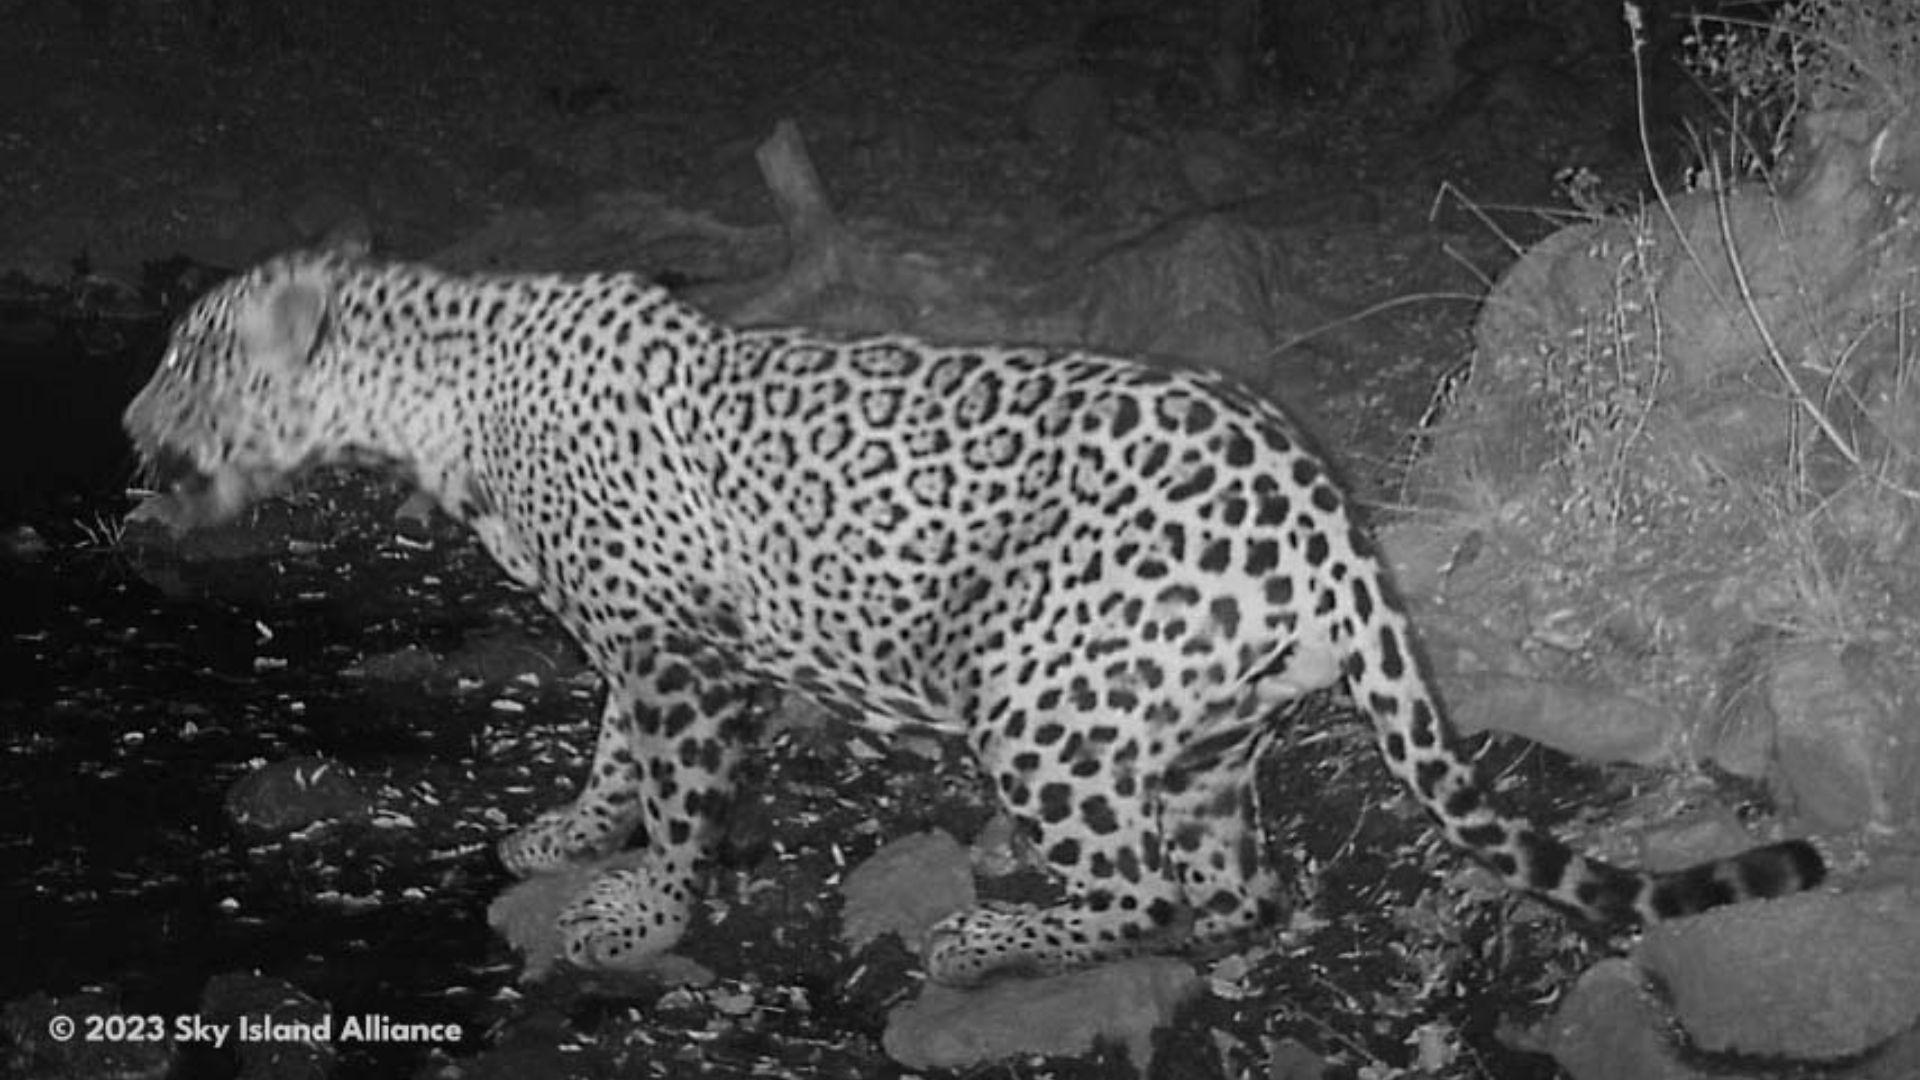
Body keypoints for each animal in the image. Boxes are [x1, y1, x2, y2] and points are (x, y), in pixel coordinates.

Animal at [122, 240, 1824, 987]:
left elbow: (676, 794)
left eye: (194, 359)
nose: (131, 426)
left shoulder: (683, 652)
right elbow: (609, 756)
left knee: (1141, 890)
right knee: (1228, 889)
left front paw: (641, 910)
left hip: (1041, 697)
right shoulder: (639, 640)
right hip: (1202, 736)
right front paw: (566, 834)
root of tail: (1329, 518)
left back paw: (981, 932)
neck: (433, 398)